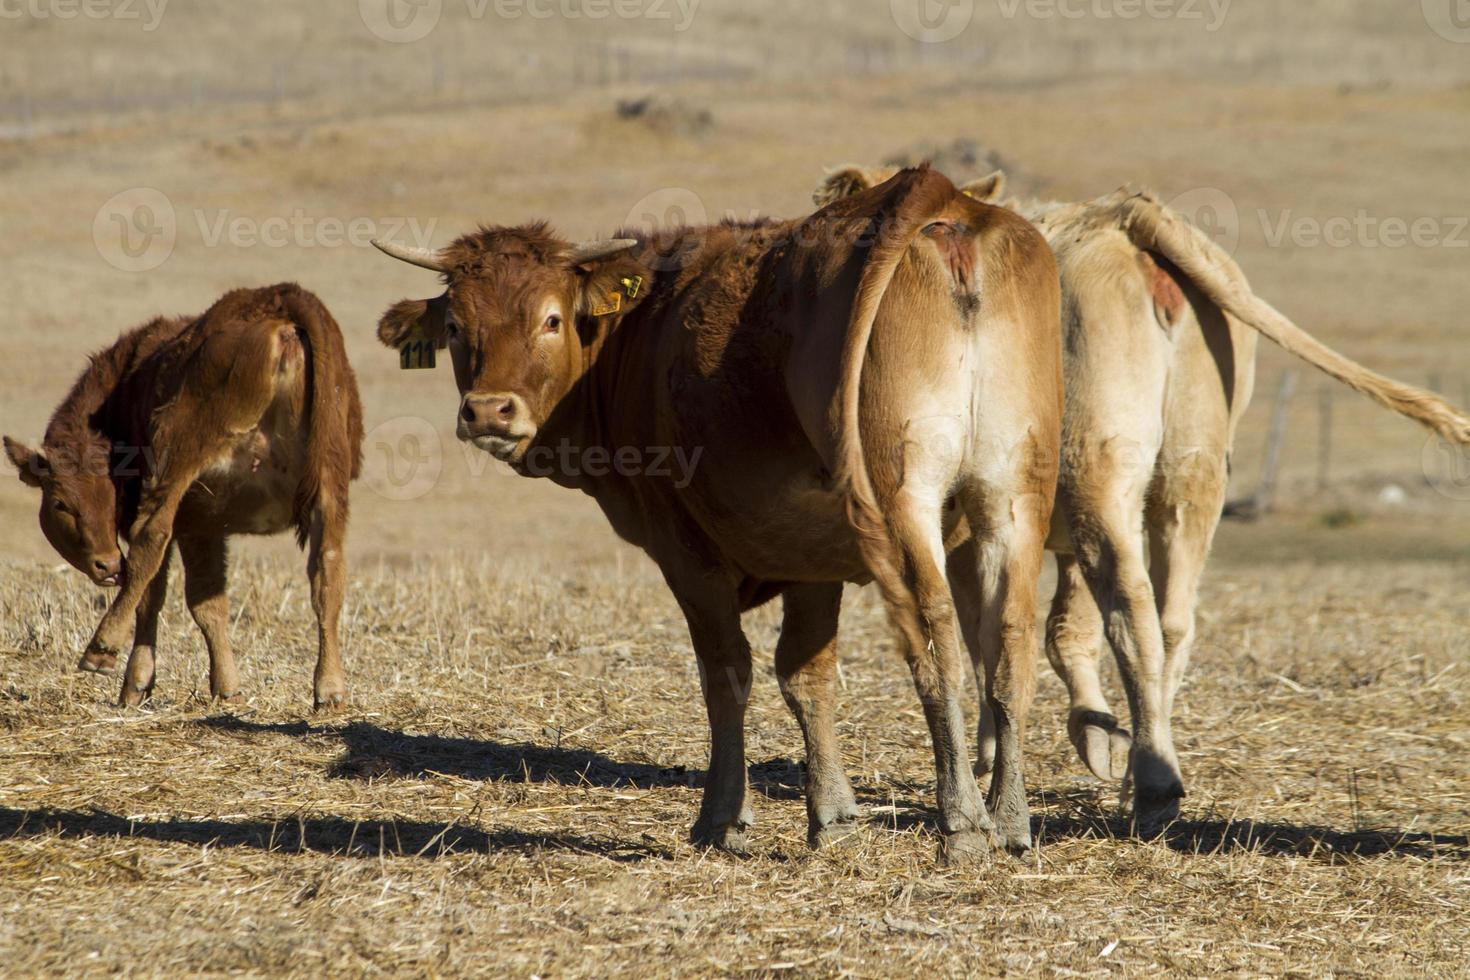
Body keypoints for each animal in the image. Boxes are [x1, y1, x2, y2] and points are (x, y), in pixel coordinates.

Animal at [5, 285, 361, 714]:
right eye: (63, 504)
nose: (107, 565)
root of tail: (279, 302)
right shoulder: (201, 526)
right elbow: (208, 602)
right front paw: (226, 687)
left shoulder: (177, 519)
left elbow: (154, 590)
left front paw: (135, 683)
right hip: (329, 484)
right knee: (327, 573)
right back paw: (330, 688)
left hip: (181, 453)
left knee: (150, 539)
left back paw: (101, 646)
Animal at [367, 166, 1058, 858]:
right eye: (456, 326)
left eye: (552, 319)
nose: (488, 411)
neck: (639, 335)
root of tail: (941, 198)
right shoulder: (809, 557)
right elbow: (807, 675)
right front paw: (831, 815)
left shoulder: (687, 553)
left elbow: (727, 673)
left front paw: (721, 816)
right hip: (1014, 500)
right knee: (1010, 640)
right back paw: (1009, 818)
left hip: (903, 502)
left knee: (935, 631)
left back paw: (963, 821)